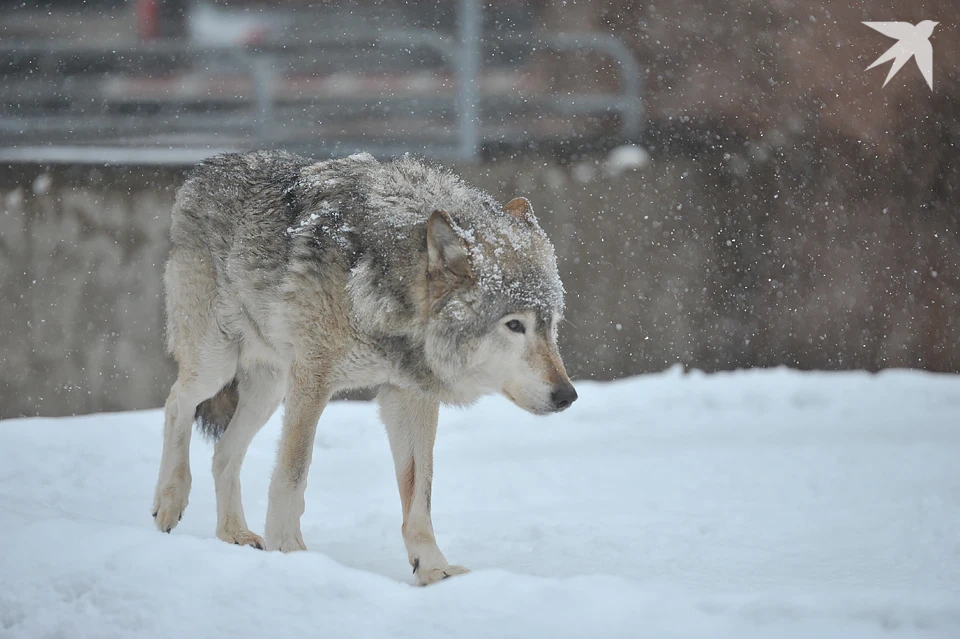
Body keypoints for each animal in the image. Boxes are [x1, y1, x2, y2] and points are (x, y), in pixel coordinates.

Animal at [154, 150, 576, 584]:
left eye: (551, 325)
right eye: (514, 325)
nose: (567, 395)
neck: (384, 288)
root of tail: (206, 167)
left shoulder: (409, 396)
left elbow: (420, 494)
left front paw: (433, 569)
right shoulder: (313, 379)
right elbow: (292, 475)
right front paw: (289, 552)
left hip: (269, 390)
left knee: (223, 452)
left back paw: (234, 533)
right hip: (216, 365)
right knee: (176, 402)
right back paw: (170, 500)